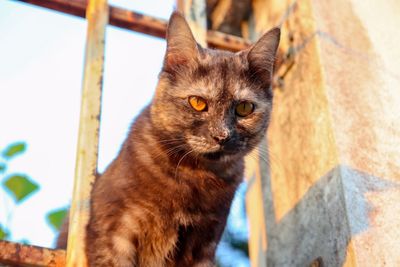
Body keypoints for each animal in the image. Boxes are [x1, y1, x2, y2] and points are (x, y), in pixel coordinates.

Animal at [57, 11, 280, 267]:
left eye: (244, 108)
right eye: (197, 102)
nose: (222, 135)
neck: (193, 176)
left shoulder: (204, 244)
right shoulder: (113, 234)